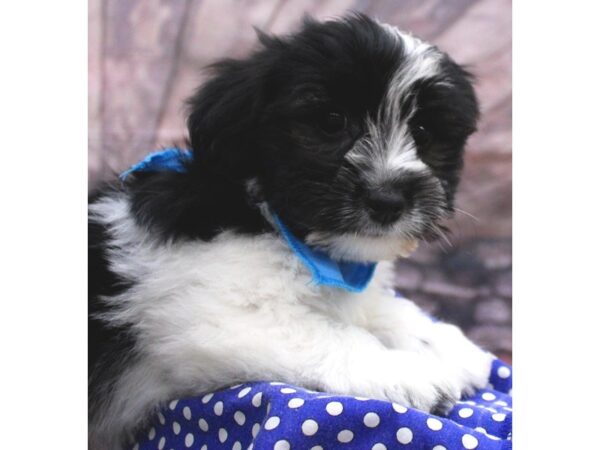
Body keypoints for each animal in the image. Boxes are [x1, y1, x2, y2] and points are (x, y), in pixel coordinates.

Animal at [88, 14, 492, 450]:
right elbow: (332, 334)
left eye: (422, 131)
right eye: (332, 122)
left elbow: (370, 307)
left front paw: (442, 342)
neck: (279, 225)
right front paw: (407, 370)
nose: (387, 199)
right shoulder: (216, 312)